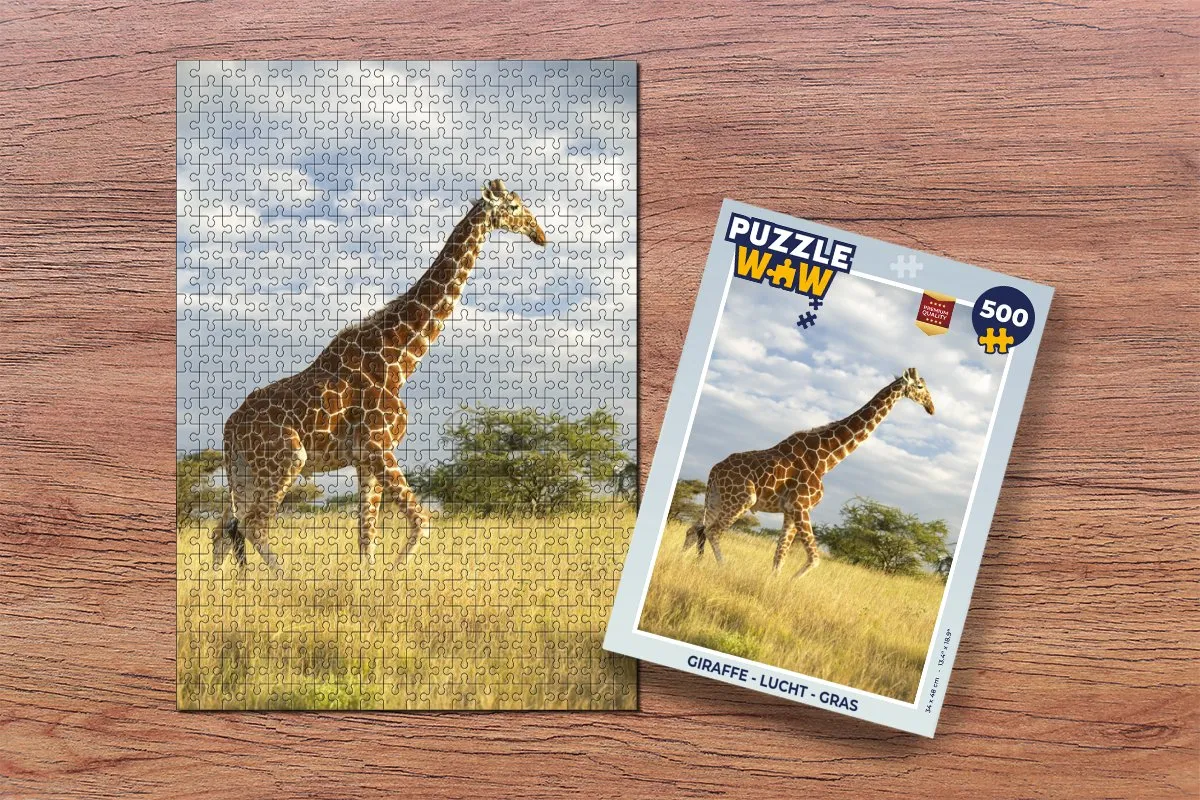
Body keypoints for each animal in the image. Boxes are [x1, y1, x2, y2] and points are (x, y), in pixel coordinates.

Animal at [212, 178, 546, 571]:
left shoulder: (365, 458)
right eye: (514, 207)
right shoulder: (378, 446)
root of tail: (230, 427)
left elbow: (366, 535)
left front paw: (369, 578)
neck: (398, 360)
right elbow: (420, 521)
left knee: (224, 528)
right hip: (286, 459)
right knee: (253, 525)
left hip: (246, 471)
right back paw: (287, 579)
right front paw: (394, 574)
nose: (541, 234)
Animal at [682, 368, 935, 577]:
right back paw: (722, 568)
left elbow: (780, 556)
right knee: (712, 531)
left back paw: (683, 562)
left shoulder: (790, 511)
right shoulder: (800, 506)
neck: (827, 460)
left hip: (716, 498)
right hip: (743, 498)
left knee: (695, 529)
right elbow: (814, 559)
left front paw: (771, 585)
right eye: (920, 387)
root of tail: (714, 470)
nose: (932, 408)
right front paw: (788, 585)